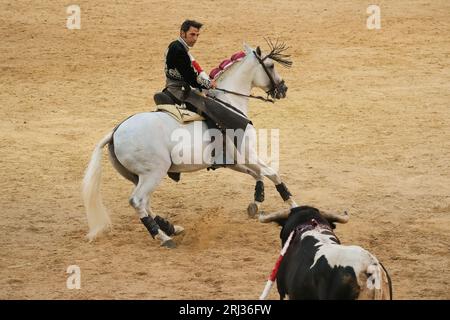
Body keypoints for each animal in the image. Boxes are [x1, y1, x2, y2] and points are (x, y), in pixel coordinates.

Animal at [81, 42, 298, 248]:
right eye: (270, 65)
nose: (283, 89)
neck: (229, 102)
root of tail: (115, 132)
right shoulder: (248, 153)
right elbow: (273, 174)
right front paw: (293, 205)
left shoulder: (234, 160)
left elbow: (257, 174)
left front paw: (256, 202)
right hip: (154, 172)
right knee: (137, 201)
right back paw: (163, 237)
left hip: (138, 176)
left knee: (146, 203)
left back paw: (170, 227)